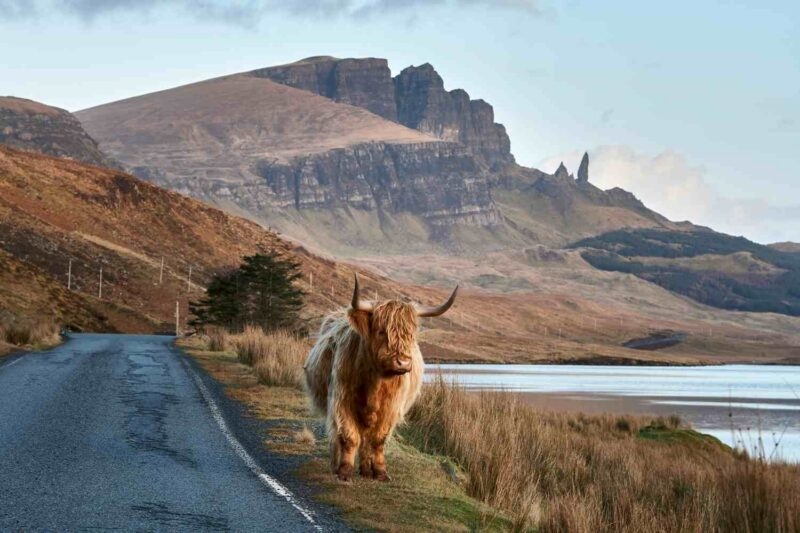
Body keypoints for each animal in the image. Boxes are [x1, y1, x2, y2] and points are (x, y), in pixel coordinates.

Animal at [304, 274, 458, 482]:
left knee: (367, 440)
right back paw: (336, 464)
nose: (402, 362)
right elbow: (349, 437)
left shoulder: (391, 408)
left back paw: (367, 470)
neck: (374, 383)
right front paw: (344, 471)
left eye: (410, 334)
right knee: (339, 435)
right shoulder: (342, 401)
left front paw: (380, 472)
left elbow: (378, 439)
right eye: (381, 331)